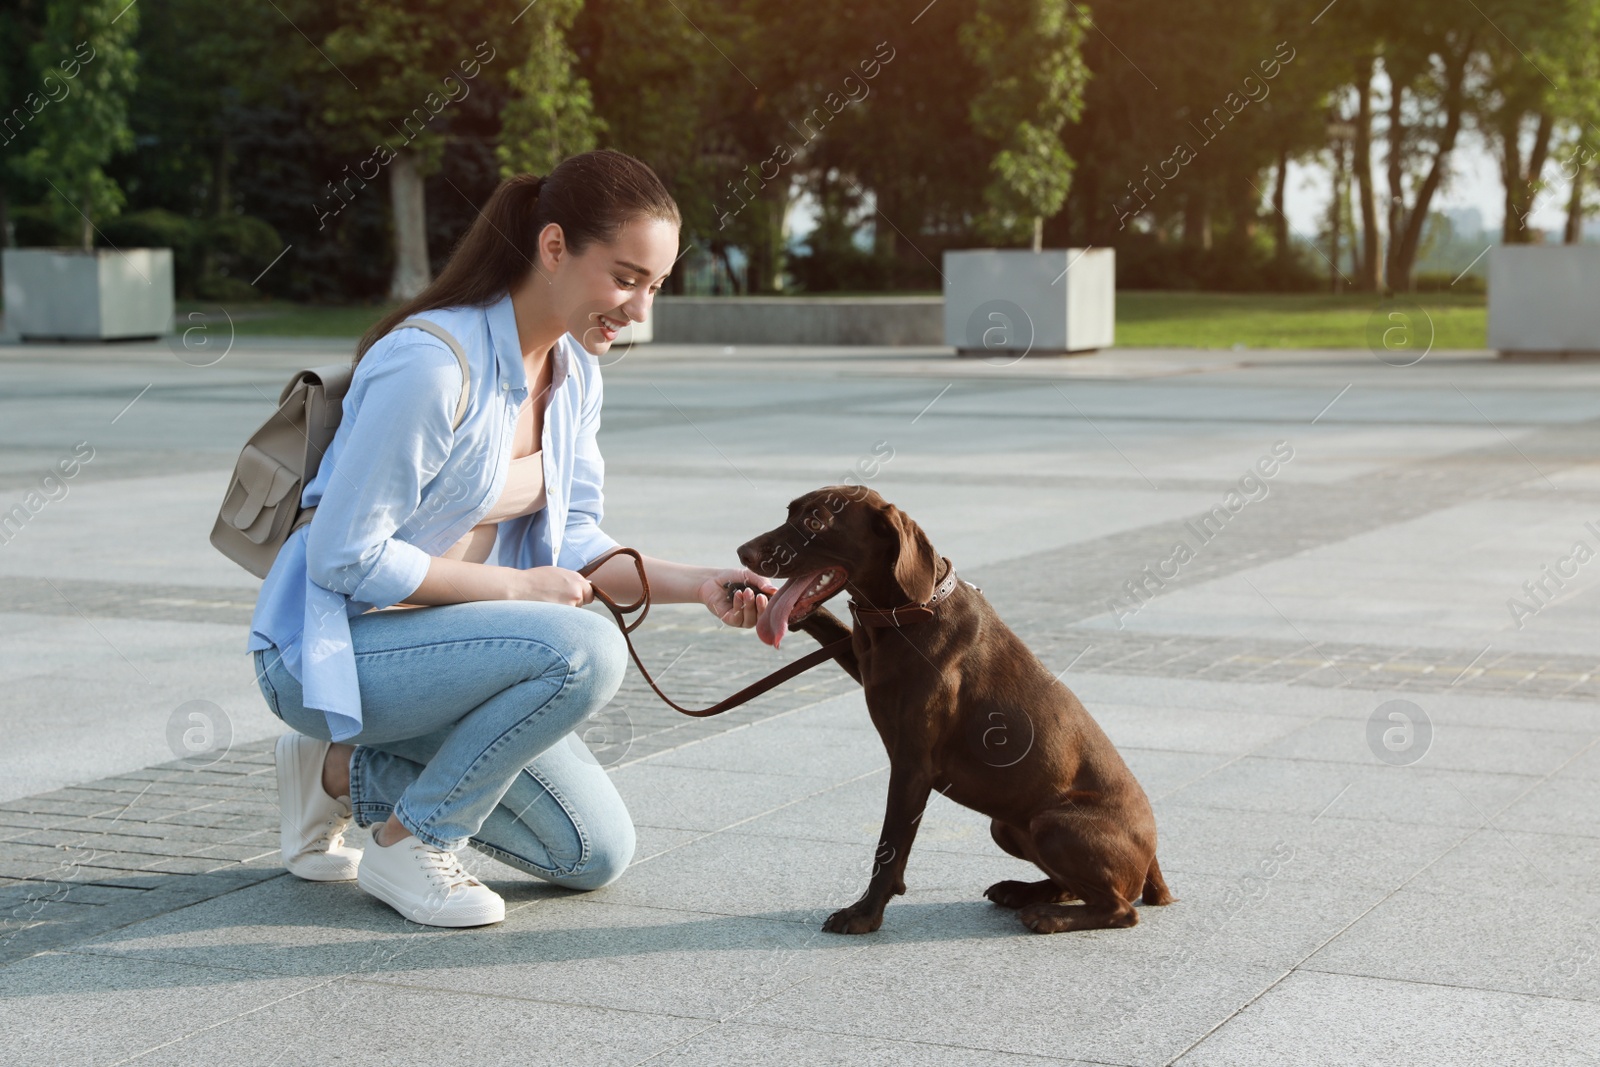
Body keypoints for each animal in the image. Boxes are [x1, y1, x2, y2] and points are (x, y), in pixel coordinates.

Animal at [739, 486, 1177, 934]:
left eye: (816, 521)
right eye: (790, 512)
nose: (742, 552)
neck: (907, 612)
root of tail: (1154, 861)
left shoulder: (913, 764)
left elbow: (889, 848)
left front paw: (864, 914)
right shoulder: (866, 664)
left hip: (1051, 823)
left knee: (1121, 908)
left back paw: (1047, 916)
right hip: (1006, 826)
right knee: (1073, 887)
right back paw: (1024, 892)